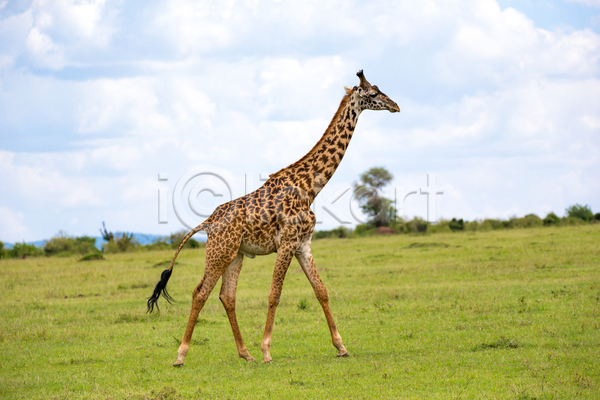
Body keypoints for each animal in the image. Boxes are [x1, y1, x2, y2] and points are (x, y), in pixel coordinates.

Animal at [148, 69, 400, 366]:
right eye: (373, 93)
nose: (396, 106)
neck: (309, 187)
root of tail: (207, 222)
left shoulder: (303, 244)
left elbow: (321, 290)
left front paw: (341, 346)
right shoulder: (288, 243)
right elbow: (275, 294)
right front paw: (267, 350)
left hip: (236, 254)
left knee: (227, 296)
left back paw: (245, 353)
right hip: (220, 252)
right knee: (200, 292)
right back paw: (181, 354)